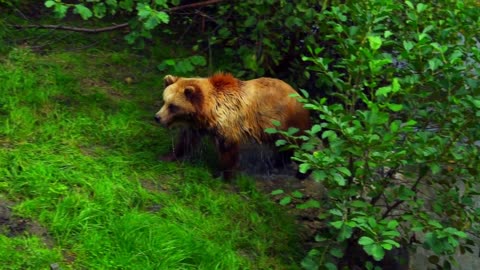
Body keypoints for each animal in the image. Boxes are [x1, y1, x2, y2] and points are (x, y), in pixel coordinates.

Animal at [155, 73, 312, 180]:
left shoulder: (228, 125)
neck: (208, 112)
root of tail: (300, 96)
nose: (157, 117)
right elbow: (185, 140)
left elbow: (228, 149)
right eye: (164, 101)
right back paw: (277, 163)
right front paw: (168, 156)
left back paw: (301, 172)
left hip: (287, 122)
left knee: (298, 144)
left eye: (173, 106)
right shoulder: (198, 127)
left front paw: (223, 175)